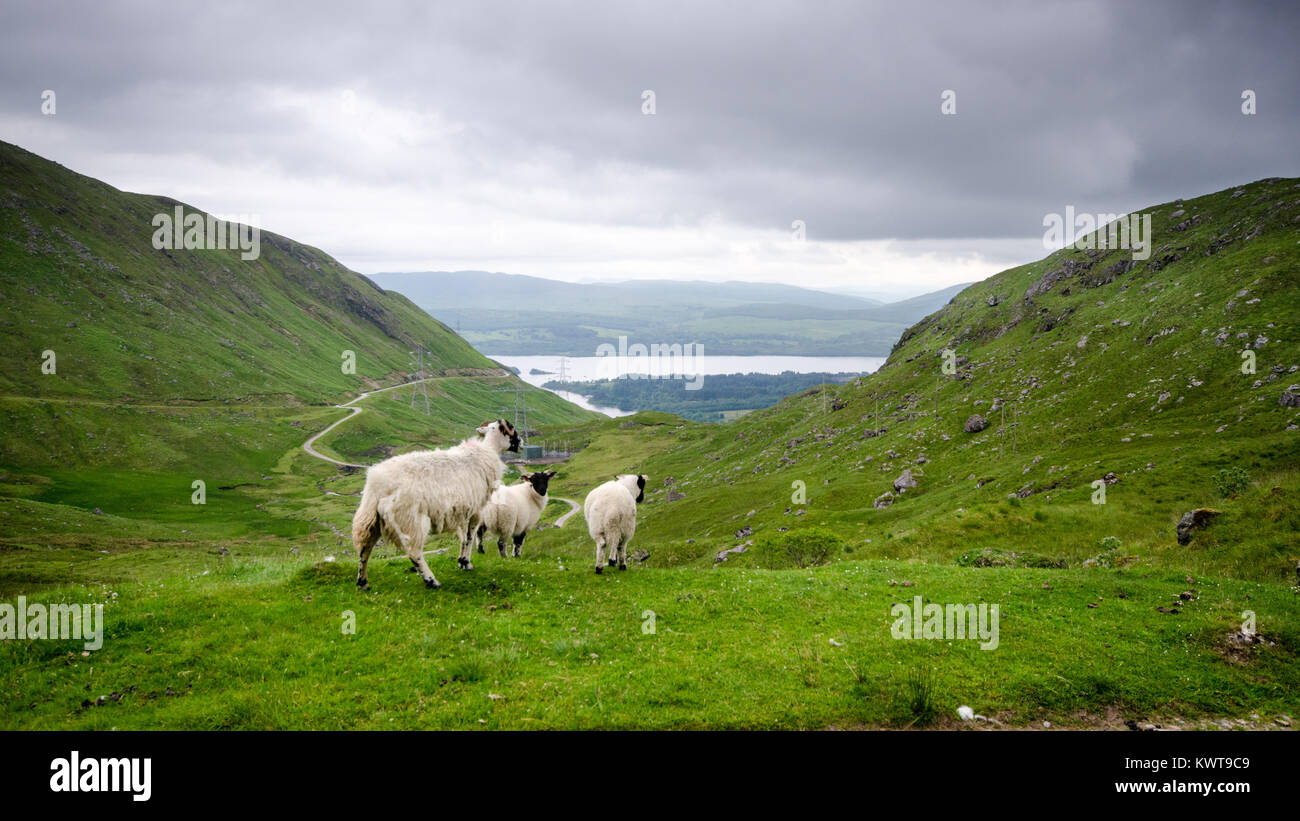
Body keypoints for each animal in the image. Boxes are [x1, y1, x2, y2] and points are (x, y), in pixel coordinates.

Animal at [356, 415, 522, 589]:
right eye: (511, 429)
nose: (522, 442)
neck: (488, 450)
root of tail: (376, 482)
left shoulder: (462, 511)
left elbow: (463, 538)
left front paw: (461, 562)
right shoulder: (476, 511)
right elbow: (470, 537)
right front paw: (467, 563)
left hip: (370, 519)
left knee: (364, 548)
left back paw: (363, 582)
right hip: (410, 519)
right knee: (414, 552)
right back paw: (431, 580)